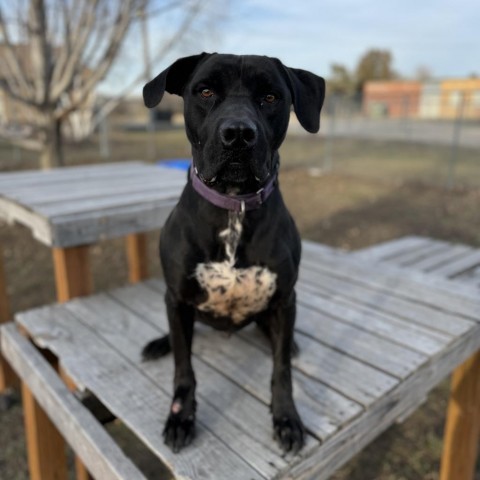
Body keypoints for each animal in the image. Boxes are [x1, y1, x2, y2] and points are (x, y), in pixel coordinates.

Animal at [141, 52, 324, 454]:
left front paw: (286, 418)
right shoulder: (177, 298)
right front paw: (181, 417)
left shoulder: (285, 300)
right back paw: (159, 343)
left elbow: (281, 370)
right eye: (205, 91)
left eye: (270, 97)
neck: (234, 205)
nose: (238, 133)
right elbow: (184, 369)